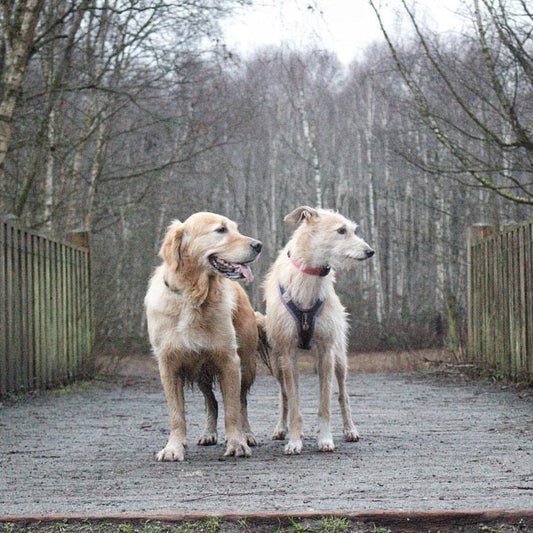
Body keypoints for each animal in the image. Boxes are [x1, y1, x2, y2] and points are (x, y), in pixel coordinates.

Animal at [143, 210, 262, 460]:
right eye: (221, 230)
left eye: (236, 228)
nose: (258, 245)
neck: (194, 296)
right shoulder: (168, 365)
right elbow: (177, 414)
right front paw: (173, 448)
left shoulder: (229, 361)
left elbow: (233, 410)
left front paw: (236, 443)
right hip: (201, 373)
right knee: (212, 402)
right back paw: (208, 434)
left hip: (246, 364)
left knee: (242, 402)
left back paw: (247, 434)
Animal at [262, 204, 374, 454]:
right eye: (341, 230)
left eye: (353, 230)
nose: (370, 251)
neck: (308, 278)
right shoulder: (288, 353)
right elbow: (293, 402)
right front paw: (295, 440)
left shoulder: (326, 351)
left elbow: (326, 402)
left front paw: (325, 439)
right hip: (276, 362)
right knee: (284, 395)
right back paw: (281, 428)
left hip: (340, 358)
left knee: (343, 395)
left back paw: (350, 429)